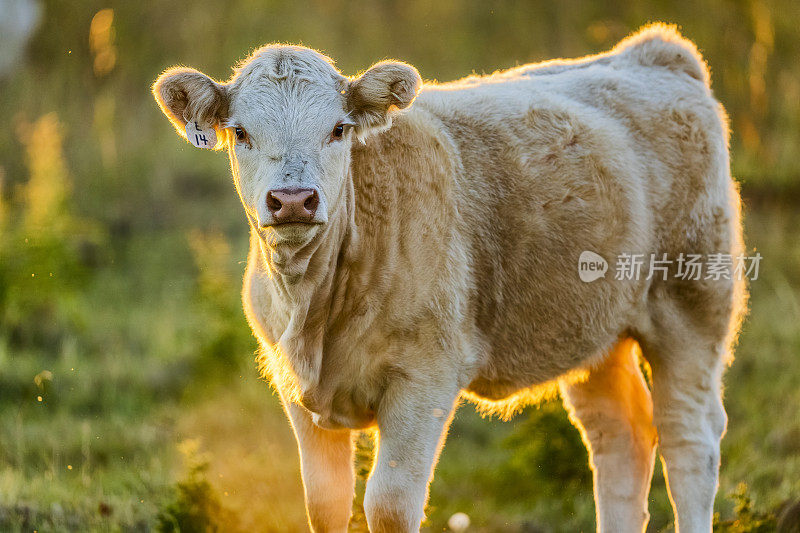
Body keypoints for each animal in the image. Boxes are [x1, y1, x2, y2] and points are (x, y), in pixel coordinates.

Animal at [155, 25, 744, 532]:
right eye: (241, 132)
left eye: (339, 129)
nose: (294, 200)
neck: (316, 310)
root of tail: (653, 52)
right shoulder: (295, 389)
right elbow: (324, 504)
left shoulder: (425, 377)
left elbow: (389, 505)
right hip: (593, 331)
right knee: (621, 437)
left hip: (691, 301)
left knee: (687, 438)